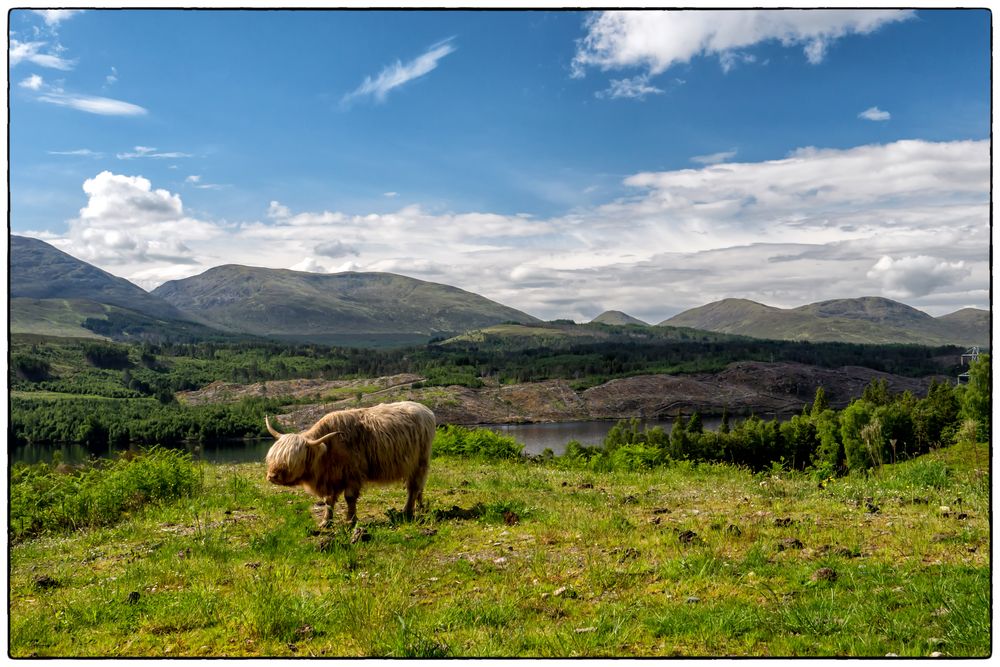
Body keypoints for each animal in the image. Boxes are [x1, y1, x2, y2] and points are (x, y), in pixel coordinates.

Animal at [266, 400, 434, 524]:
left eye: (293, 459)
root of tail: (425, 409)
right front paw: (326, 522)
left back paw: (407, 512)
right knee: (417, 488)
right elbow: (328, 500)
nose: (272, 476)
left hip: (419, 462)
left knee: (413, 488)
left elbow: (350, 498)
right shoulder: (332, 478)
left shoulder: (353, 474)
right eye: (272, 457)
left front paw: (350, 521)